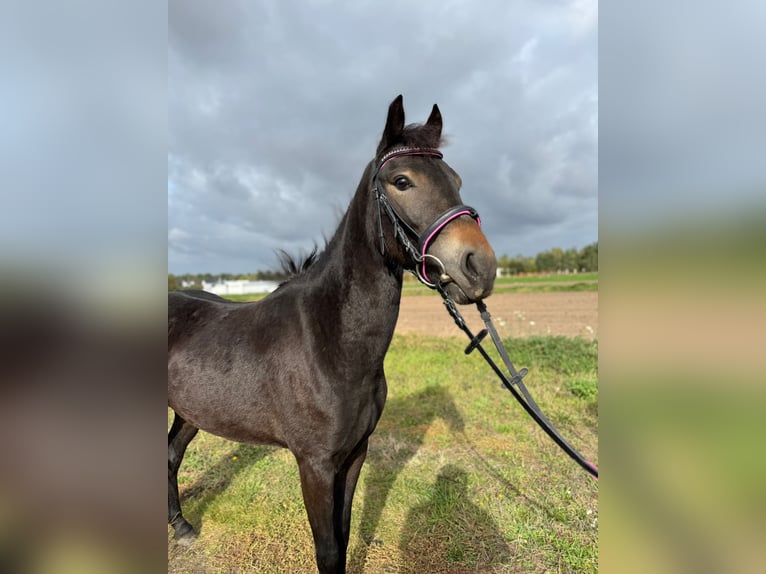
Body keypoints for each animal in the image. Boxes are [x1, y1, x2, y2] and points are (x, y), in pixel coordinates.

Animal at [168, 95, 497, 573]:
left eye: (456, 179)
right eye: (402, 181)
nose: (480, 266)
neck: (331, 346)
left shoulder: (356, 454)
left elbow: (343, 535)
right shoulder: (315, 465)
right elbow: (327, 548)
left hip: (189, 412)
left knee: (171, 454)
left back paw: (181, 527)